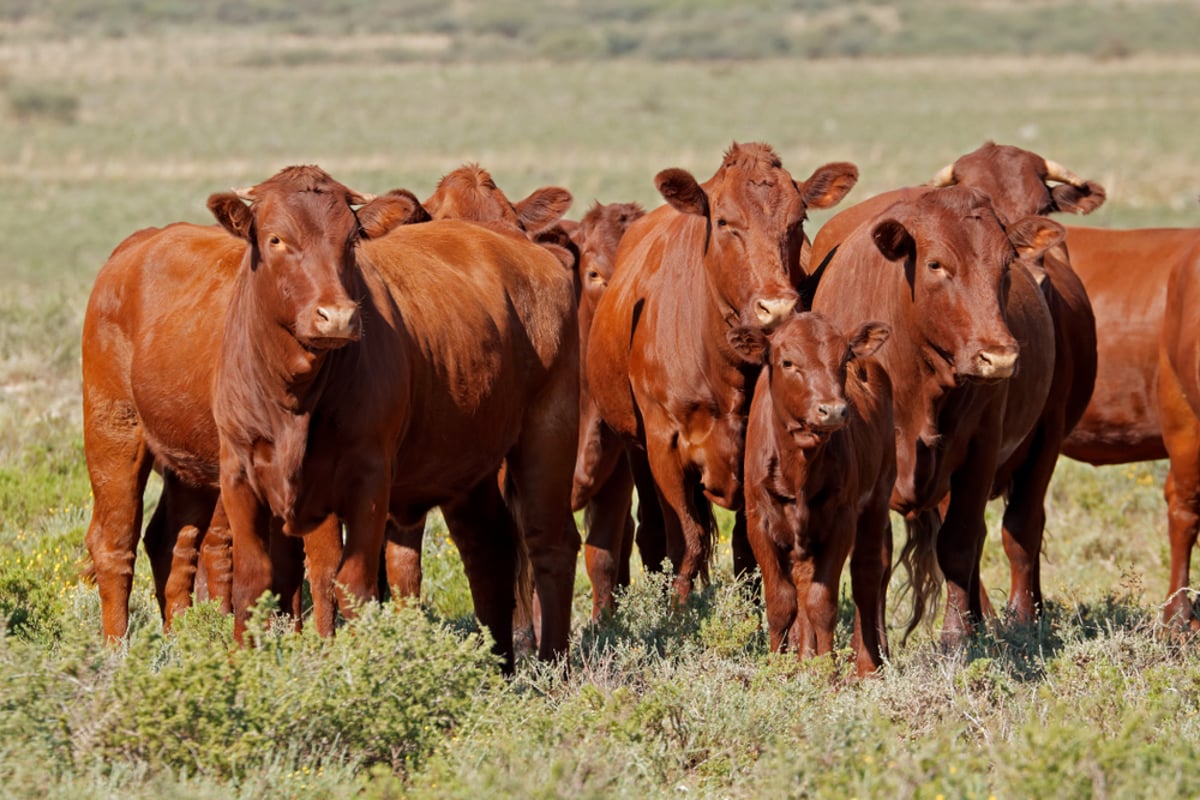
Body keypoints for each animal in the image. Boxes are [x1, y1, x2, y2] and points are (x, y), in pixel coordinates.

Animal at [78, 176, 427, 642]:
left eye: (351, 239)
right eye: (276, 239)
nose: (336, 316)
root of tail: (136, 245)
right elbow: (320, 564)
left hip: (189, 465)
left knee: (172, 539)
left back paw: (182, 636)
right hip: (114, 432)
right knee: (114, 542)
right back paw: (117, 648)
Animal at [208, 170, 583, 671]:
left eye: (350, 241)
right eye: (276, 239)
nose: (337, 317)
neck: (293, 397)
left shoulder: (368, 477)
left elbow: (354, 584)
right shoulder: (239, 473)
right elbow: (254, 583)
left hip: (548, 433)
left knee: (550, 544)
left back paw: (554, 667)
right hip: (469, 466)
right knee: (489, 548)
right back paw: (501, 668)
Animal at [585, 142, 859, 599]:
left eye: (798, 220)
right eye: (725, 221)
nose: (777, 307)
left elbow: (749, 546)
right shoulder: (664, 446)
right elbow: (686, 541)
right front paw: (677, 611)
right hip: (636, 445)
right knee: (653, 534)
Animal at [734, 311, 897, 676]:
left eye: (844, 359)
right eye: (788, 362)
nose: (833, 410)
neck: (799, 467)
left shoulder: (842, 520)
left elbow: (822, 603)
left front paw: (827, 673)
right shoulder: (758, 521)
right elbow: (782, 602)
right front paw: (778, 670)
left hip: (878, 496)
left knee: (867, 574)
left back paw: (866, 667)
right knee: (804, 580)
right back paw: (804, 658)